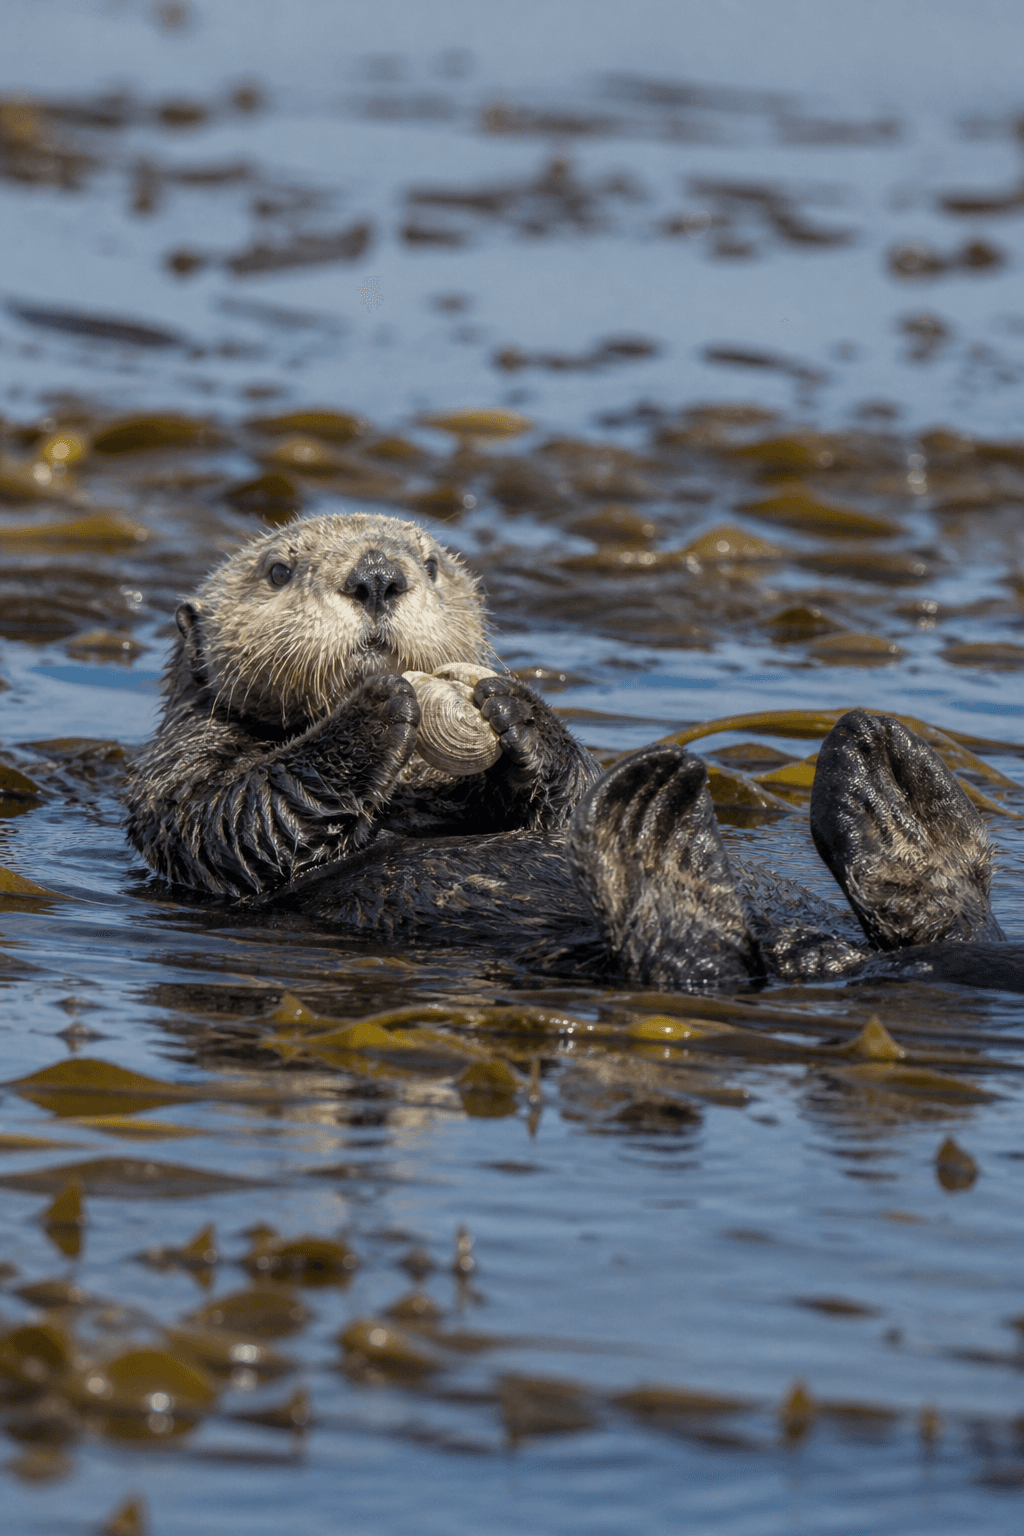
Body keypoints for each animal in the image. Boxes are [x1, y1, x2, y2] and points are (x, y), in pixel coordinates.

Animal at [125, 512, 1024, 994]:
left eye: (431, 563)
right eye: (279, 569)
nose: (378, 576)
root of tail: (828, 958)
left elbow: (570, 804)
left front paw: (517, 711)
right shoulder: (181, 790)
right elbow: (248, 813)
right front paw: (380, 702)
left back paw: (887, 774)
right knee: (697, 961)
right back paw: (663, 821)